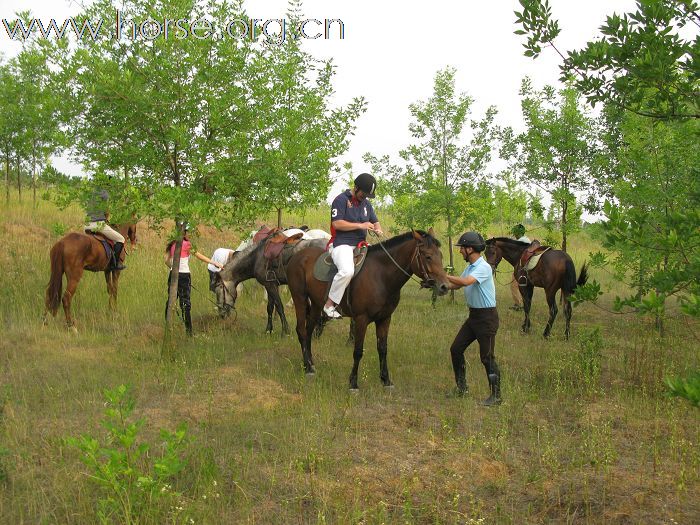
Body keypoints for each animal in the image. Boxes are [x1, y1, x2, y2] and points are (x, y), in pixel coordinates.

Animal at [288, 229, 452, 388]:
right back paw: (308, 368)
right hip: (300, 299)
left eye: (440, 255)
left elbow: (383, 349)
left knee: (309, 330)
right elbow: (358, 351)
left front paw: (386, 380)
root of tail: (297, 255)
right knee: (301, 330)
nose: (445, 286)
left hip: (316, 304)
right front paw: (353, 383)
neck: (381, 276)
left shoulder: (385, 319)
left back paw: (309, 364)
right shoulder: (361, 319)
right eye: (428, 256)